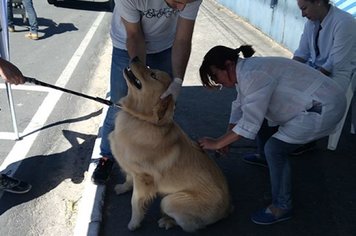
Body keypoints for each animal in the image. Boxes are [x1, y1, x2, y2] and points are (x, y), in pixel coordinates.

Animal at [109, 57, 231, 232]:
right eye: (150, 68)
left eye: (153, 75)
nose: (135, 58)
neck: (141, 119)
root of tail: (228, 208)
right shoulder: (134, 170)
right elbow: (128, 178)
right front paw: (123, 187)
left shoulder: (143, 178)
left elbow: (135, 203)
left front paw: (134, 223)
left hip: (169, 201)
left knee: (192, 225)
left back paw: (167, 221)